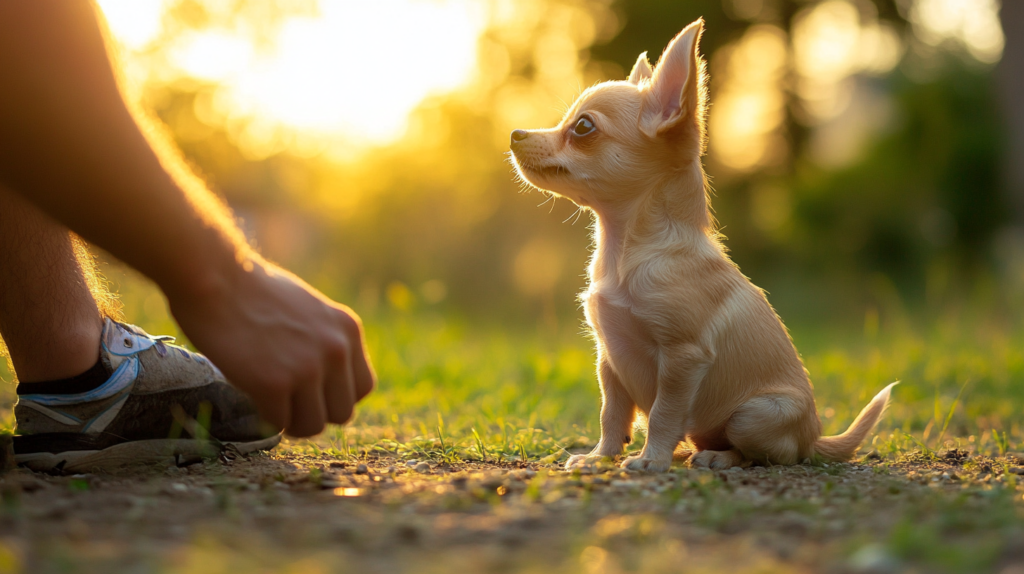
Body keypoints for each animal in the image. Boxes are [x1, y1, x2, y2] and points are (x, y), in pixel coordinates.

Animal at [507, 21, 892, 470]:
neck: (624, 251)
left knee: (768, 454)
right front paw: (599, 457)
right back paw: (689, 450)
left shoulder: (682, 359)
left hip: (755, 414)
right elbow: (611, 413)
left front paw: (650, 460)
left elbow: (663, 412)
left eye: (583, 127)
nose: (515, 134)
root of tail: (814, 437)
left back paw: (717, 458)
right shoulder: (609, 360)